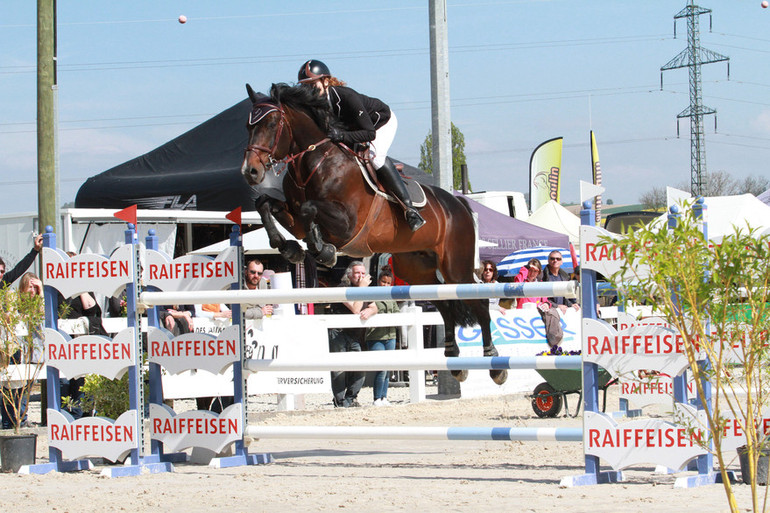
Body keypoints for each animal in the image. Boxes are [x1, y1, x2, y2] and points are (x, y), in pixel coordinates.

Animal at [240, 82, 504, 384]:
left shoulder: (347, 224)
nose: (250, 171)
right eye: (248, 126)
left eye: (272, 123)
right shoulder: (293, 217)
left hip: (455, 266)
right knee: (447, 305)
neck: (313, 163)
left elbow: (309, 209)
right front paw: (290, 247)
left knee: (478, 302)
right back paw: (454, 358)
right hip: (418, 269)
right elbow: (266, 204)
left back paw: (494, 364)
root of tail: (459, 203)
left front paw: (323, 250)